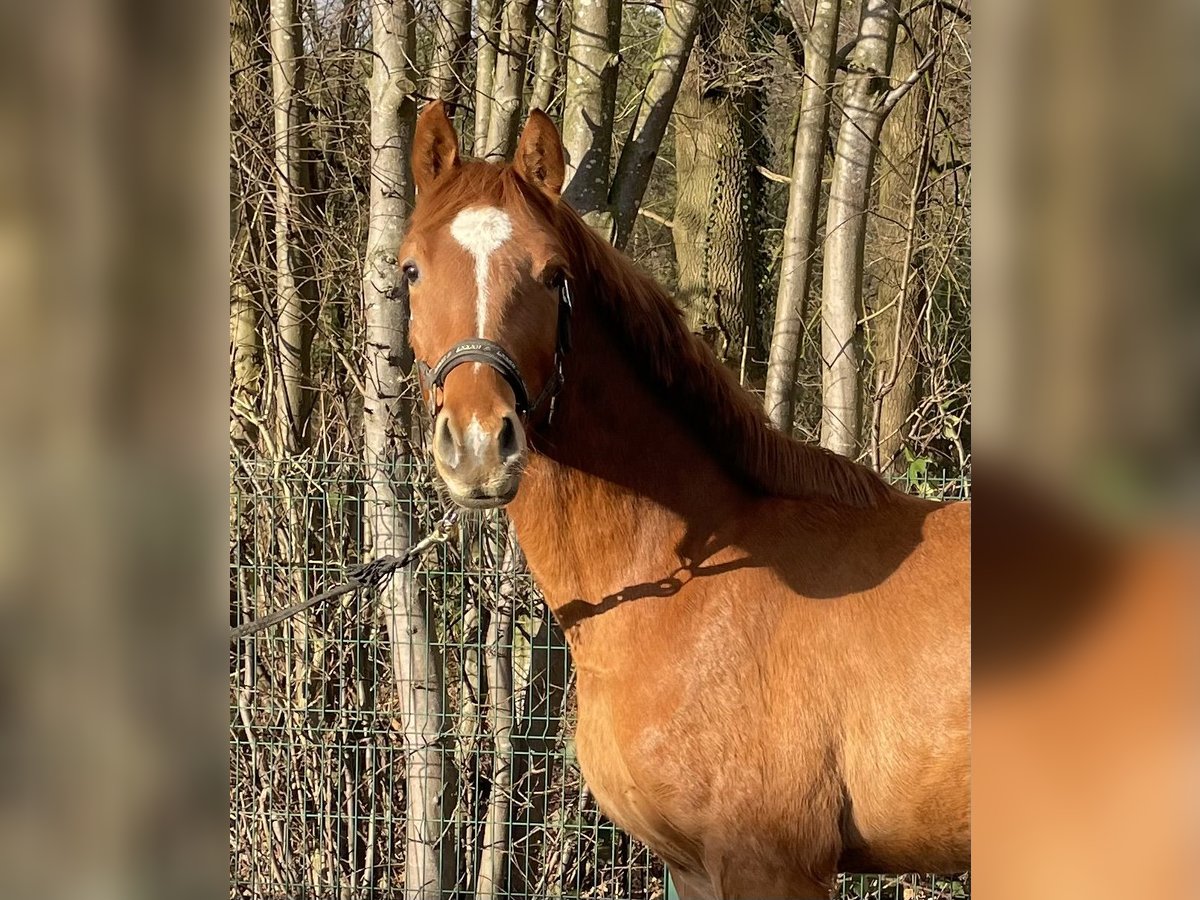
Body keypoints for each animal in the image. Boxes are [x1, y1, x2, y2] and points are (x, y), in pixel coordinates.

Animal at [398, 102, 969, 897]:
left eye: (552, 275)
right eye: (411, 269)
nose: (480, 445)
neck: (685, 589)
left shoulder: (771, 866)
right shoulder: (692, 869)